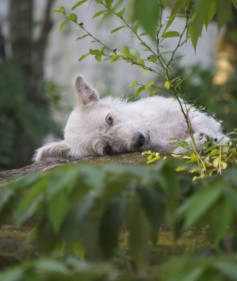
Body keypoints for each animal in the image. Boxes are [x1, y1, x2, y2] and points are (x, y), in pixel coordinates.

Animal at [32, 75, 228, 162]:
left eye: (109, 119)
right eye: (107, 148)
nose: (139, 140)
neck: (154, 130)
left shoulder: (186, 112)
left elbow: (199, 122)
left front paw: (215, 138)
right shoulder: (163, 146)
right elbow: (178, 148)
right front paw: (197, 143)